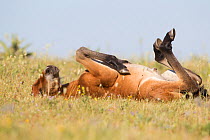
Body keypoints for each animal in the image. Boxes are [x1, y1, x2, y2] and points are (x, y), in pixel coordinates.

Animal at [32, 28, 208, 100]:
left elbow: (82, 51)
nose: (49, 68)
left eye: (38, 85)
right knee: (191, 83)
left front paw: (122, 62)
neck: (73, 88)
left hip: (167, 75)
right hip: (150, 86)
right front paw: (121, 65)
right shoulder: (104, 76)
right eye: (40, 90)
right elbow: (79, 52)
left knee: (198, 80)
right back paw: (164, 44)